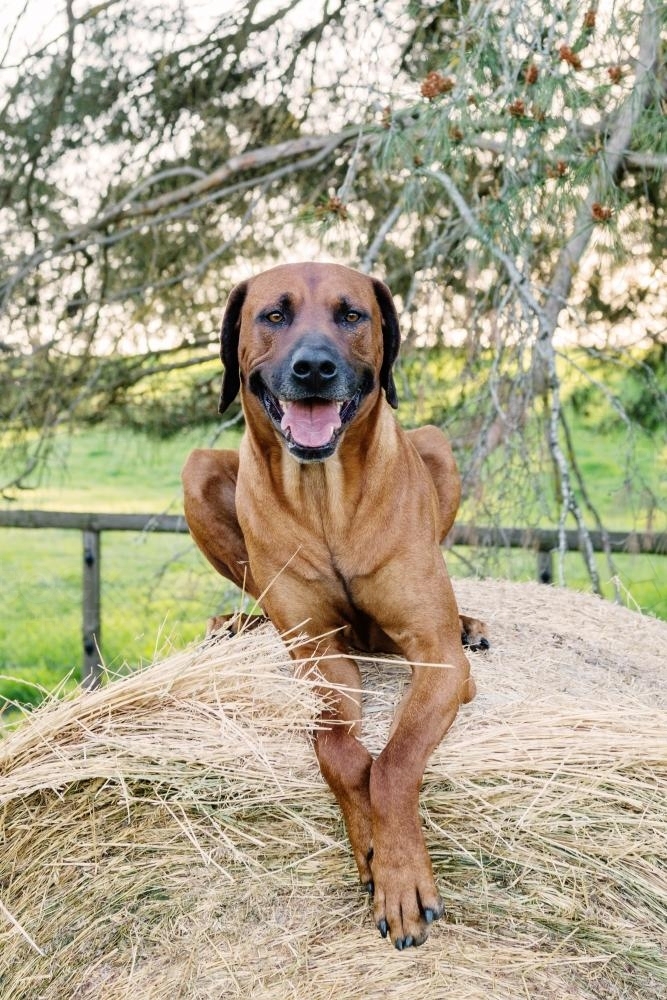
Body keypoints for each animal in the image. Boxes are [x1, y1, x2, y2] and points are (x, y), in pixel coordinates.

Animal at [180, 262, 488, 948]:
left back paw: (469, 620)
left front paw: (402, 881)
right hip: (199, 468)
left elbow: (395, 762)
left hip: (436, 445)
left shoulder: (437, 659)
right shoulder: (320, 654)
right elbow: (340, 750)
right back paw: (237, 623)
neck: (327, 496)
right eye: (274, 315)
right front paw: (372, 850)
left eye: (352, 315)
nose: (315, 368)